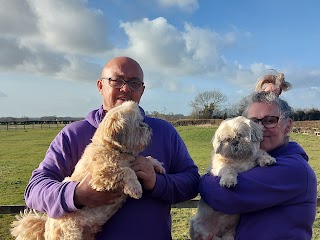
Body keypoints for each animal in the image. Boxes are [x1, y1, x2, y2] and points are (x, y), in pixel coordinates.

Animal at [10, 101, 165, 240]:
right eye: (139, 124)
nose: (148, 128)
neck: (112, 149)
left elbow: (147, 159)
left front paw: (158, 166)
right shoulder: (103, 174)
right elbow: (126, 171)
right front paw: (135, 188)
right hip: (70, 234)